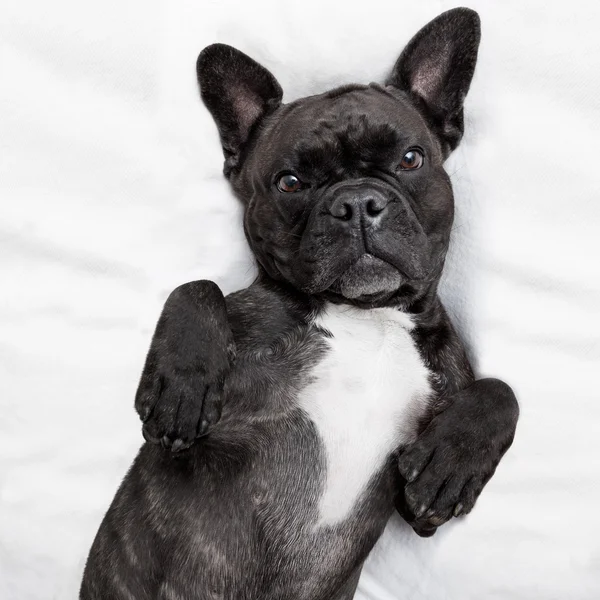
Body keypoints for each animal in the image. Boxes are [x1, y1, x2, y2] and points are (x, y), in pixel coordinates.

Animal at [79, 9, 516, 600]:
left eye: (410, 159)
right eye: (289, 183)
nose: (357, 202)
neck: (366, 315)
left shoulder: (420, 507)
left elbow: (501, 391)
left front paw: (452, 463)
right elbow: (197, 285)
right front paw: (183, 388)